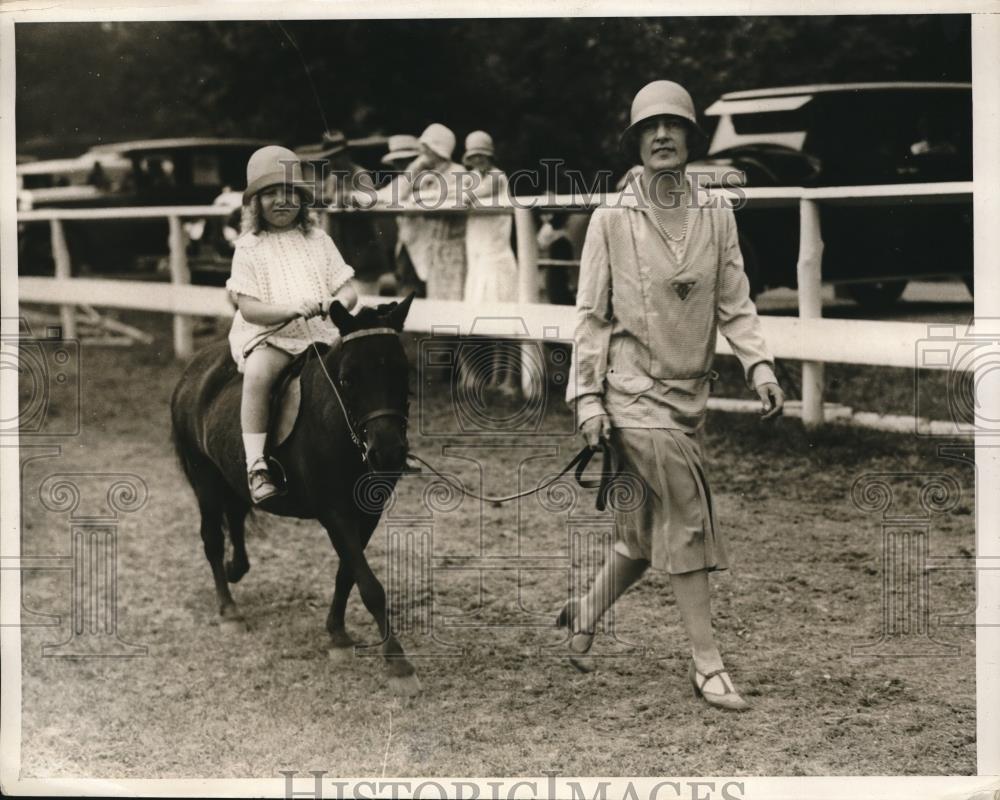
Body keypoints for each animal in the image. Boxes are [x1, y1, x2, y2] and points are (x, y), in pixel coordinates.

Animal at [170, 294, 420, 692]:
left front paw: (337, 634)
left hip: (230, 477)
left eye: (402, 372)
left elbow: (348, 574)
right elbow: (370, 585)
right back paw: (229, 611)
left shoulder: (367, 514)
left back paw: (236, 568)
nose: (388, 453)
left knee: (236, 517)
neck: (340, 428)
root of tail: (194, 368)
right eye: (348, 379)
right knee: (212, 538)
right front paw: (398, 662)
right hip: (204, 480)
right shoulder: (335, 513)